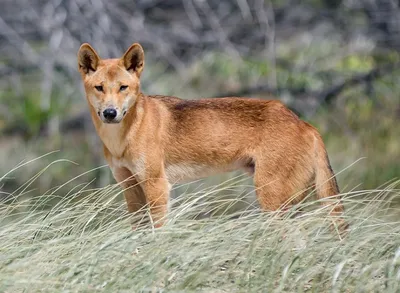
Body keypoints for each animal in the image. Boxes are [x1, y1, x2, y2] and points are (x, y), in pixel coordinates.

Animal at [77, 41, 346, 233]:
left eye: (123, 88)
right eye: (99, 88)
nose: (110, 113)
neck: (122, 138)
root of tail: (305, 124)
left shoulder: (157, 185)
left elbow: (157, 232)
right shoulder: (130, 187)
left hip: (271, 198)